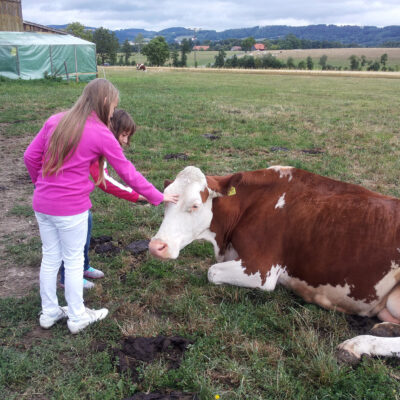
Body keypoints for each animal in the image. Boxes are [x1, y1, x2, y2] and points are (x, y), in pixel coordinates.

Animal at [149, 165, 400, 362]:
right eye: (165, 202)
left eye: (194, 205)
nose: (156, 246)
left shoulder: (261, 270)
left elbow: (212, 272)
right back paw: (385, 328)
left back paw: (355, 346)